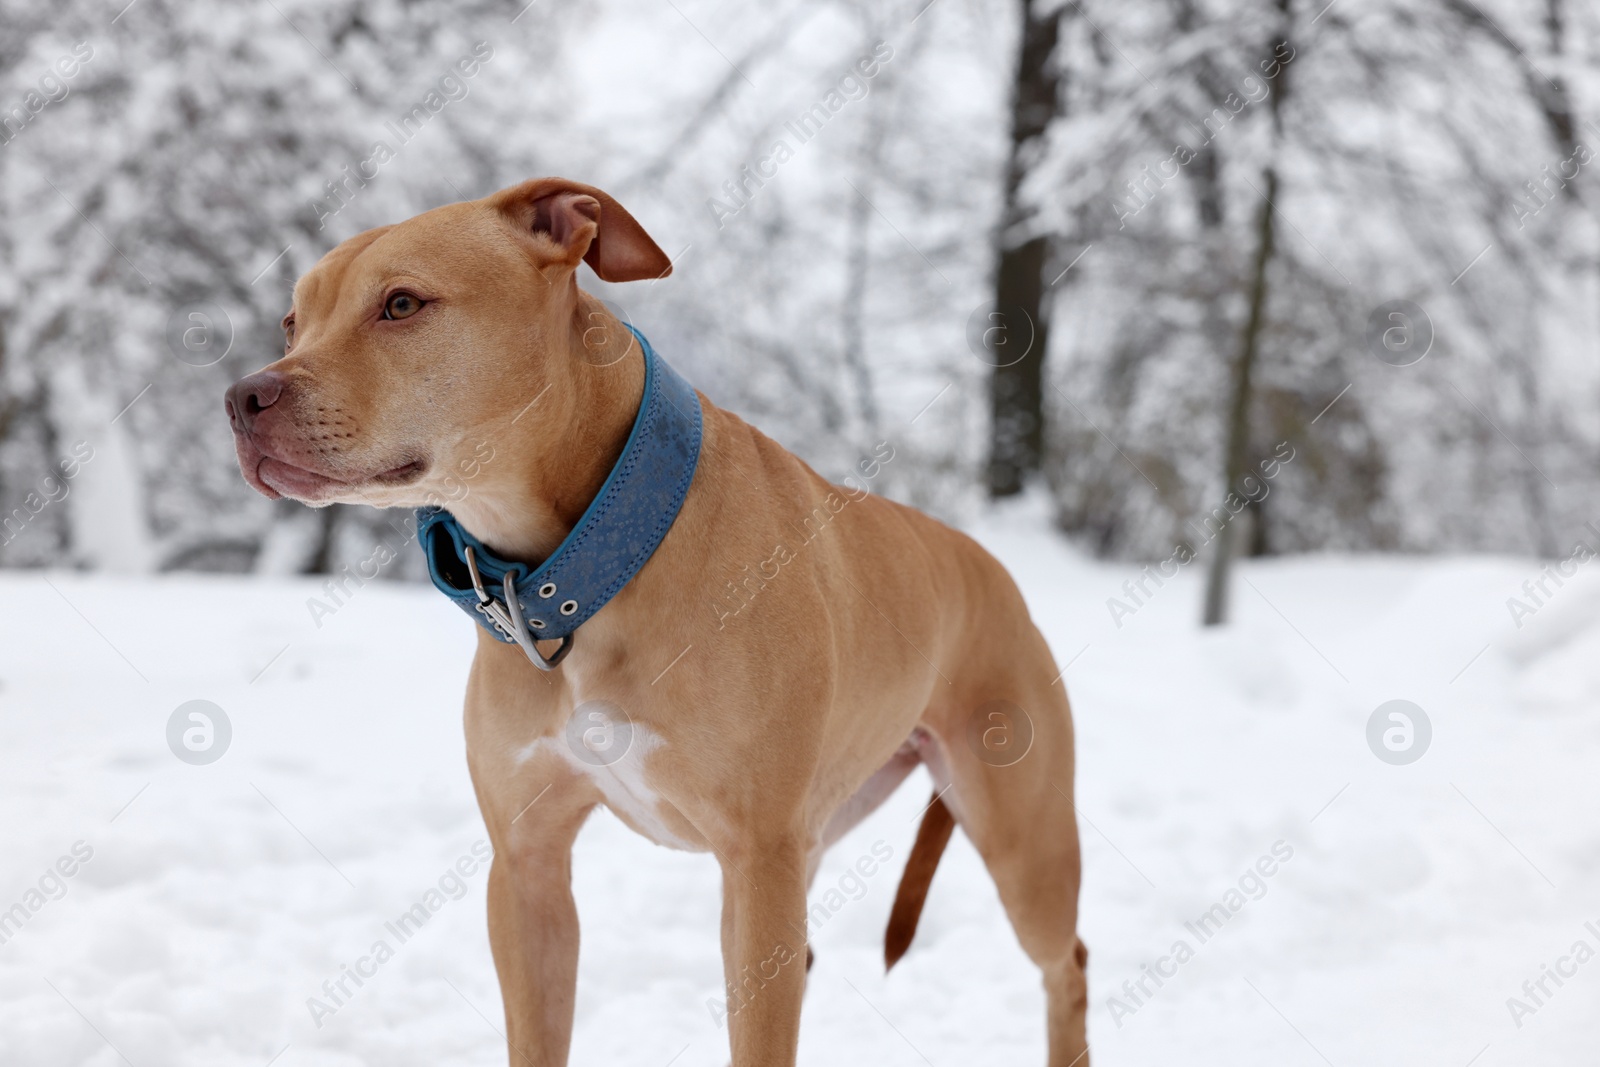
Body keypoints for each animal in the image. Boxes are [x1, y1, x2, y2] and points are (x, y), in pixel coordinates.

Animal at [225, 179, 1088, 1062]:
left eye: (401, 303)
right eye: (292, 323)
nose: (243, 396)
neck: (577, 568)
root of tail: (991, 567)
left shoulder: (758, 859)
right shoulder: (527, 869)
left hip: (1021, 839)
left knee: (1068, 963)